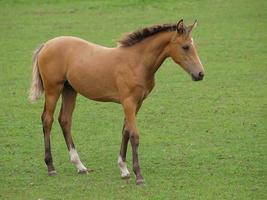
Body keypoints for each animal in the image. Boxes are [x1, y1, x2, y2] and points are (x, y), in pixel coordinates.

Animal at [29, 18, 205, 184]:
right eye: (185, 47)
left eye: (193, 45)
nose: (200, 74)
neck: (136, 61)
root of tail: (46, 45)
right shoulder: (128, 102)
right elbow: (134, 135)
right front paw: (138, 176)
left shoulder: (137, 103)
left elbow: (125, 131)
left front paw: (124, 169)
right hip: (53, 89)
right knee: (47, 120)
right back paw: (51, 167)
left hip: (69, 90)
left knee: (65, 120)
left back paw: (80, 166)